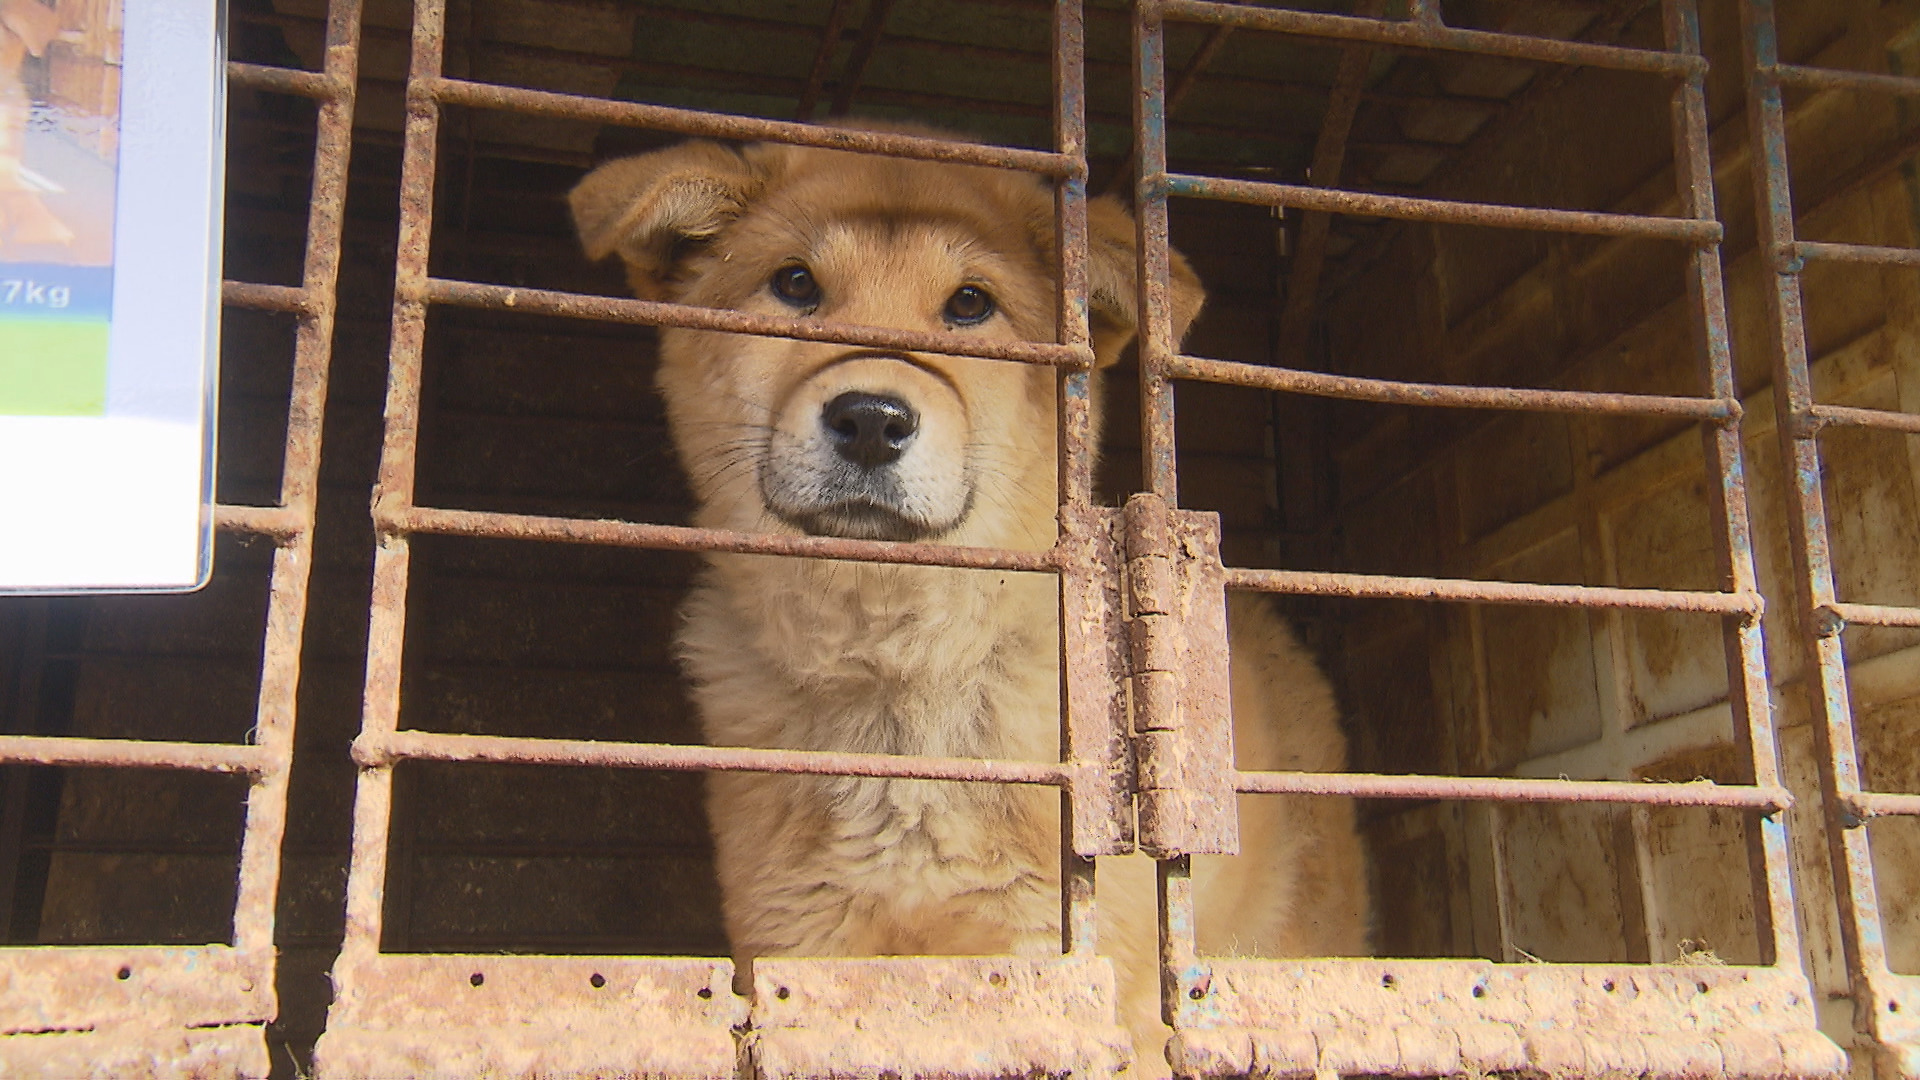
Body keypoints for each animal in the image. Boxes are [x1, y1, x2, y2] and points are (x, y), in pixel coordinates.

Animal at [568, 132, 1367, 1068]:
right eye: (795, 284)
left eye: (970, 304)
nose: (870, 419)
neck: (900, 692)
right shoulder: (801, 954)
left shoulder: (1063, 967)